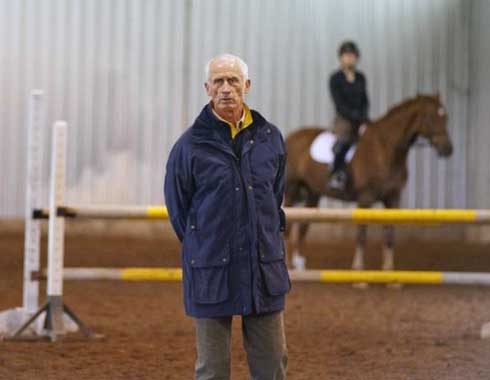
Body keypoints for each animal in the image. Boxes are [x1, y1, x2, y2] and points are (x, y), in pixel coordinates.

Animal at [286, 94, 454, 274]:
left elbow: (390, 234)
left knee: (303, 226)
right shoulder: (365, 197)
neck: (385, 148)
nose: (447, 149)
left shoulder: (393, 197)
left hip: (313, 191)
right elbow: (361, 233)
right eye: (430, 116)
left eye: (446, 116)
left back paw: (300, 265)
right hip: (292, 189)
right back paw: (290, 265)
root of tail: (291, 137)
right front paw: (358, 269)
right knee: (288, 227)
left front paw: (389, 271)